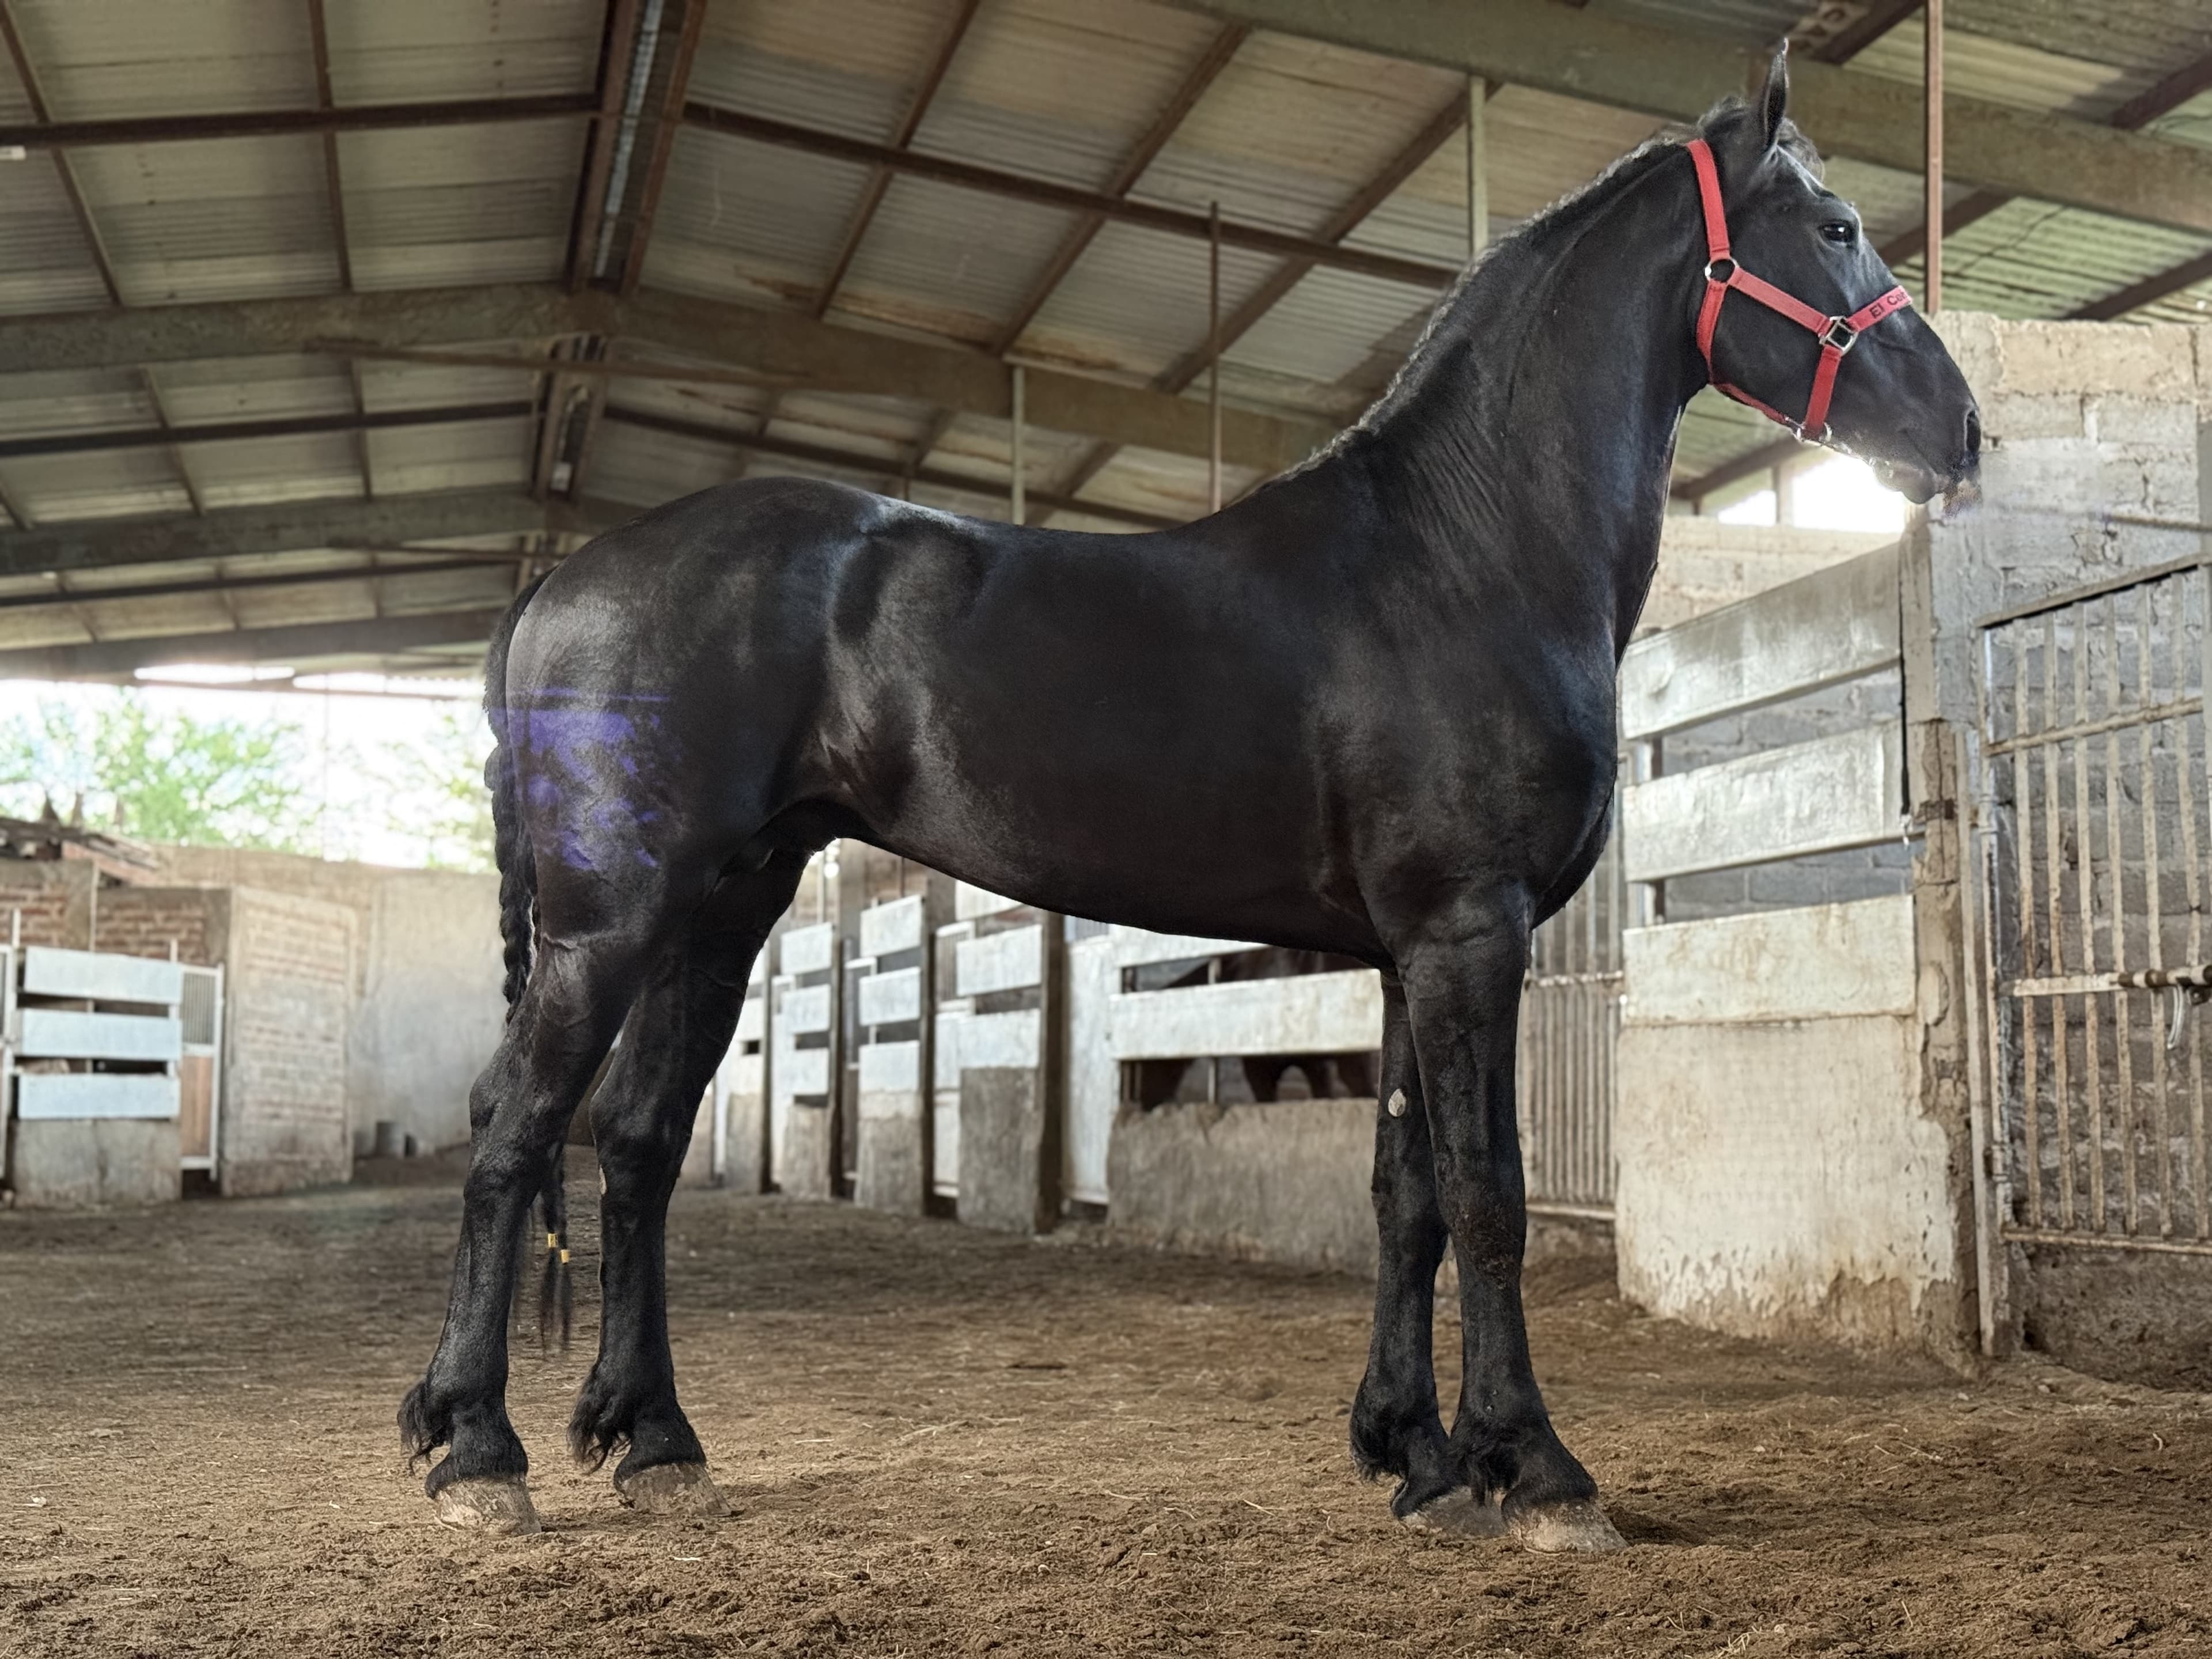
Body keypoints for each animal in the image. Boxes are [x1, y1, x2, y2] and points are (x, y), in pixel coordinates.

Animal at [401, 53, 1980, 1549]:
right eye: (1836, 227)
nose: (1961, 431)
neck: (1461, 554)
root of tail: (561, 584)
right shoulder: (1473, 932)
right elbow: (1489, 1191)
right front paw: (1534, 1470)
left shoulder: (1406, 954)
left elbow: (1405, 1194)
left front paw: (1417, 1457)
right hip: (612, 924)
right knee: (514, 1129)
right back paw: (479, 1451)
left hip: (720, 910)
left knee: (639, 1142)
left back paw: (656, 1444)